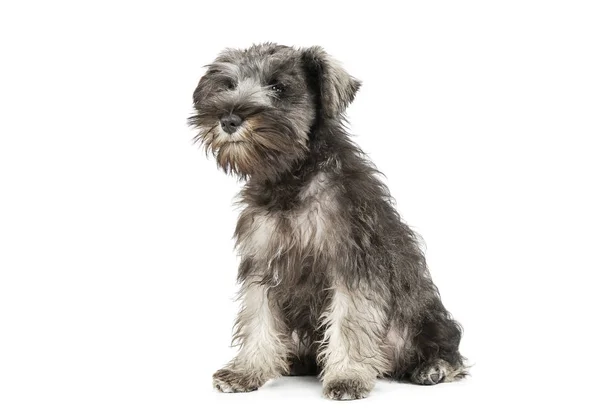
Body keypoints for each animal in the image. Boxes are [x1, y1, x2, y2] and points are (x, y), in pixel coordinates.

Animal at [190, 42, 466, 400]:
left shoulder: (352, 266)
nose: (229, 119)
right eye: (229, 85)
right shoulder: (262, 266)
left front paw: (347, 376)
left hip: (422, 320)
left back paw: (433, 367)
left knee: (446, 346)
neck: (291, 179)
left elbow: (350, 322)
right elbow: (258, 320)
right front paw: (246, 370)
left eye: (279, 88)